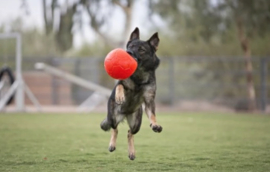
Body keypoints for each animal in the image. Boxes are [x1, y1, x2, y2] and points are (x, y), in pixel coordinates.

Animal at [99, 27, 161, 161]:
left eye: (141, 50)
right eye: (131, 46)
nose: (128, 52)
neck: (139, 77)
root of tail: (125, 114)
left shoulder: (149, 100)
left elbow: (152, 115)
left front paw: (155, 124)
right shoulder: (121, 82)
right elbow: (120, 85)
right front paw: (120, 96)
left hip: (136, 124)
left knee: (129, 133)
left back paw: (132, 152)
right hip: (112, 117)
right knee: (115, 129)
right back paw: (112, 145)